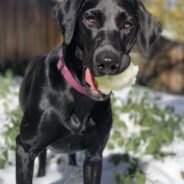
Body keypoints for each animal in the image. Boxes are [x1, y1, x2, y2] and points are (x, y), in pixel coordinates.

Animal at [16, 0, 161, 183]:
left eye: (127, 25)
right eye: (90, 19)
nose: (108, 62)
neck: (81, 98)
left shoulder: (94, 154)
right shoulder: (25, 148)